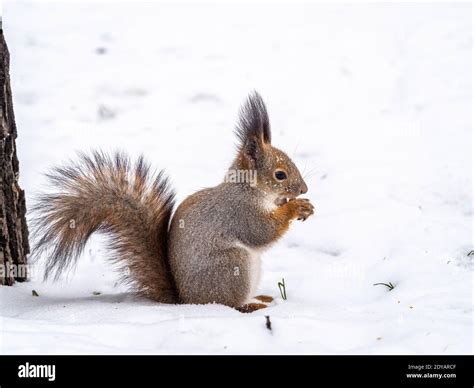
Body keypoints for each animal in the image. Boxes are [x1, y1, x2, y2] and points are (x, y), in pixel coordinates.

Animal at [32, 92, 314, 314]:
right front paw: (295, 207)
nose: (304, 189)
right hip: (232, 266)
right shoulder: (238, 211)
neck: (249, 189)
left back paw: (260, 297)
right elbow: (261, 232)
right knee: (228, 304)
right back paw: (250, 305)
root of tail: (185, 300)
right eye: (280, 175)